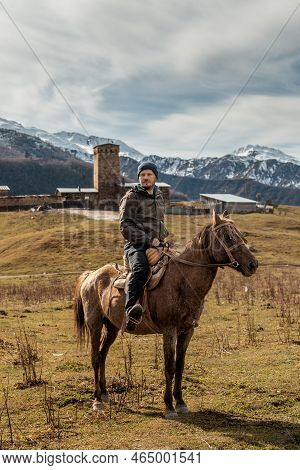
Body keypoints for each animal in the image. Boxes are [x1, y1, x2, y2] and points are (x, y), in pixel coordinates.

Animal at [73, 209, 258, 418]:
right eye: (227, 237)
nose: (253, 264)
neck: (183, 280)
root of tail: (91, 275)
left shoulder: (187, 331)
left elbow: (179, 365)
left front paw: (181, 402)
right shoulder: (169, 330)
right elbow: (169, 366)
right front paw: (169, 405)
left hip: (112, 326)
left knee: (103, 355)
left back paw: (105, 394)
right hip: (95, 325)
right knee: (95, 358)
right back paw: (97, 400)